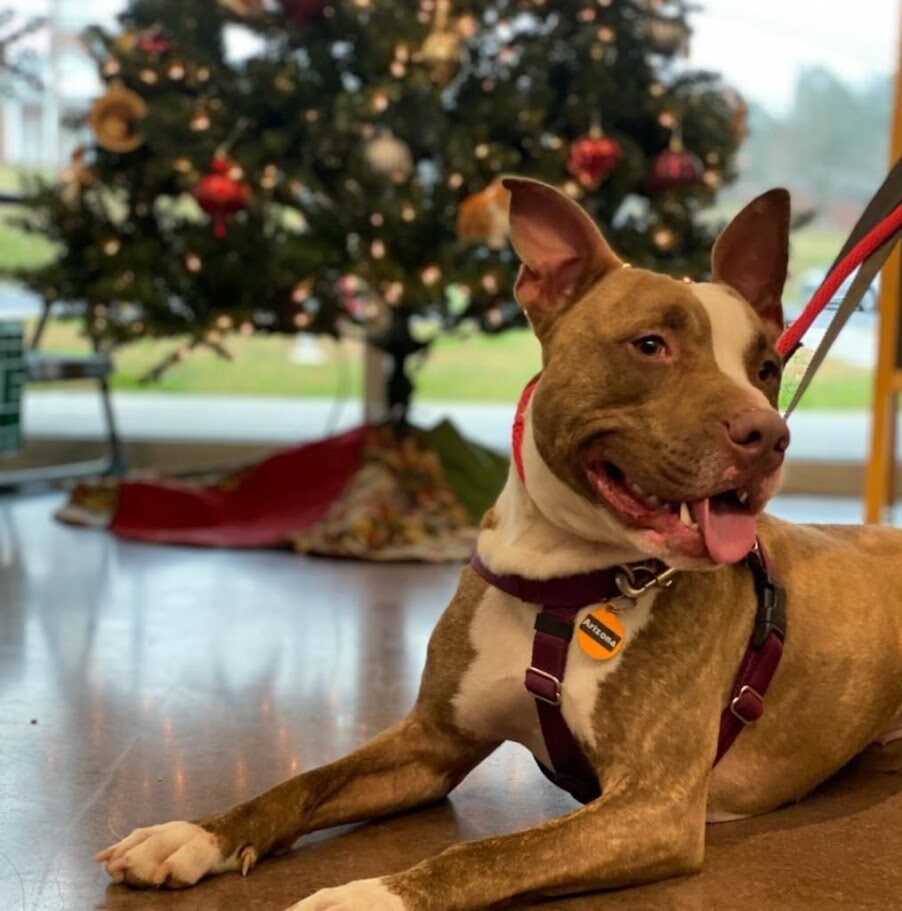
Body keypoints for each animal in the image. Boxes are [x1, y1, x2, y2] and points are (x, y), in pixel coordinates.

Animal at [95, 180, 902, 911]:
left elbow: (487, 854)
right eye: (651, 345)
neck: (567, 583)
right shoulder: (432, 742)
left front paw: (369, 895)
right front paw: (195, 833)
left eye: (767, 369)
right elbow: (304, 781)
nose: (769, 433)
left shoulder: (654, 806)